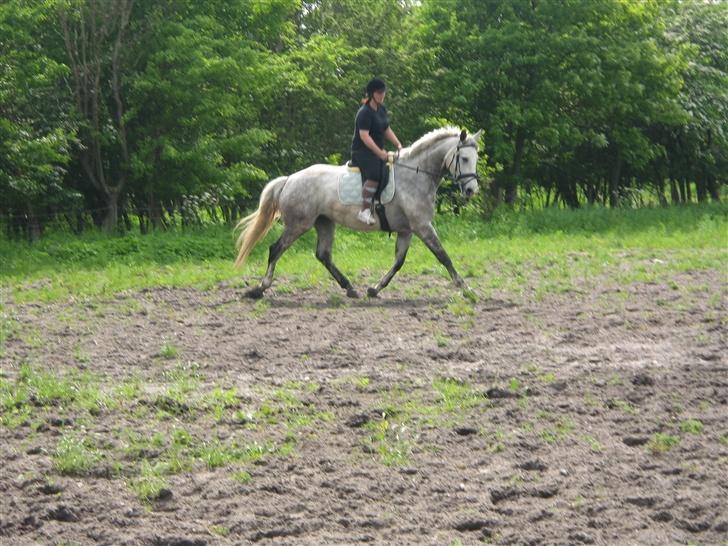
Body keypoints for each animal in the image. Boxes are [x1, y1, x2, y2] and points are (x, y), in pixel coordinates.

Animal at [236, 125, 480, 298]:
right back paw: (260, 288)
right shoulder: (422, 226)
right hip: (298, 224)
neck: (415, 176)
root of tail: (289, 179)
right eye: (464, 158)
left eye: (475, 159)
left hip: (324, 222)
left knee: (323, 254)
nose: (471, 190)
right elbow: (443, 256)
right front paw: (465, 288)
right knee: (276, 249)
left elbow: (398, 262)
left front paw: (375, 289)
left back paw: (350, 287)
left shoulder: (407, 230)